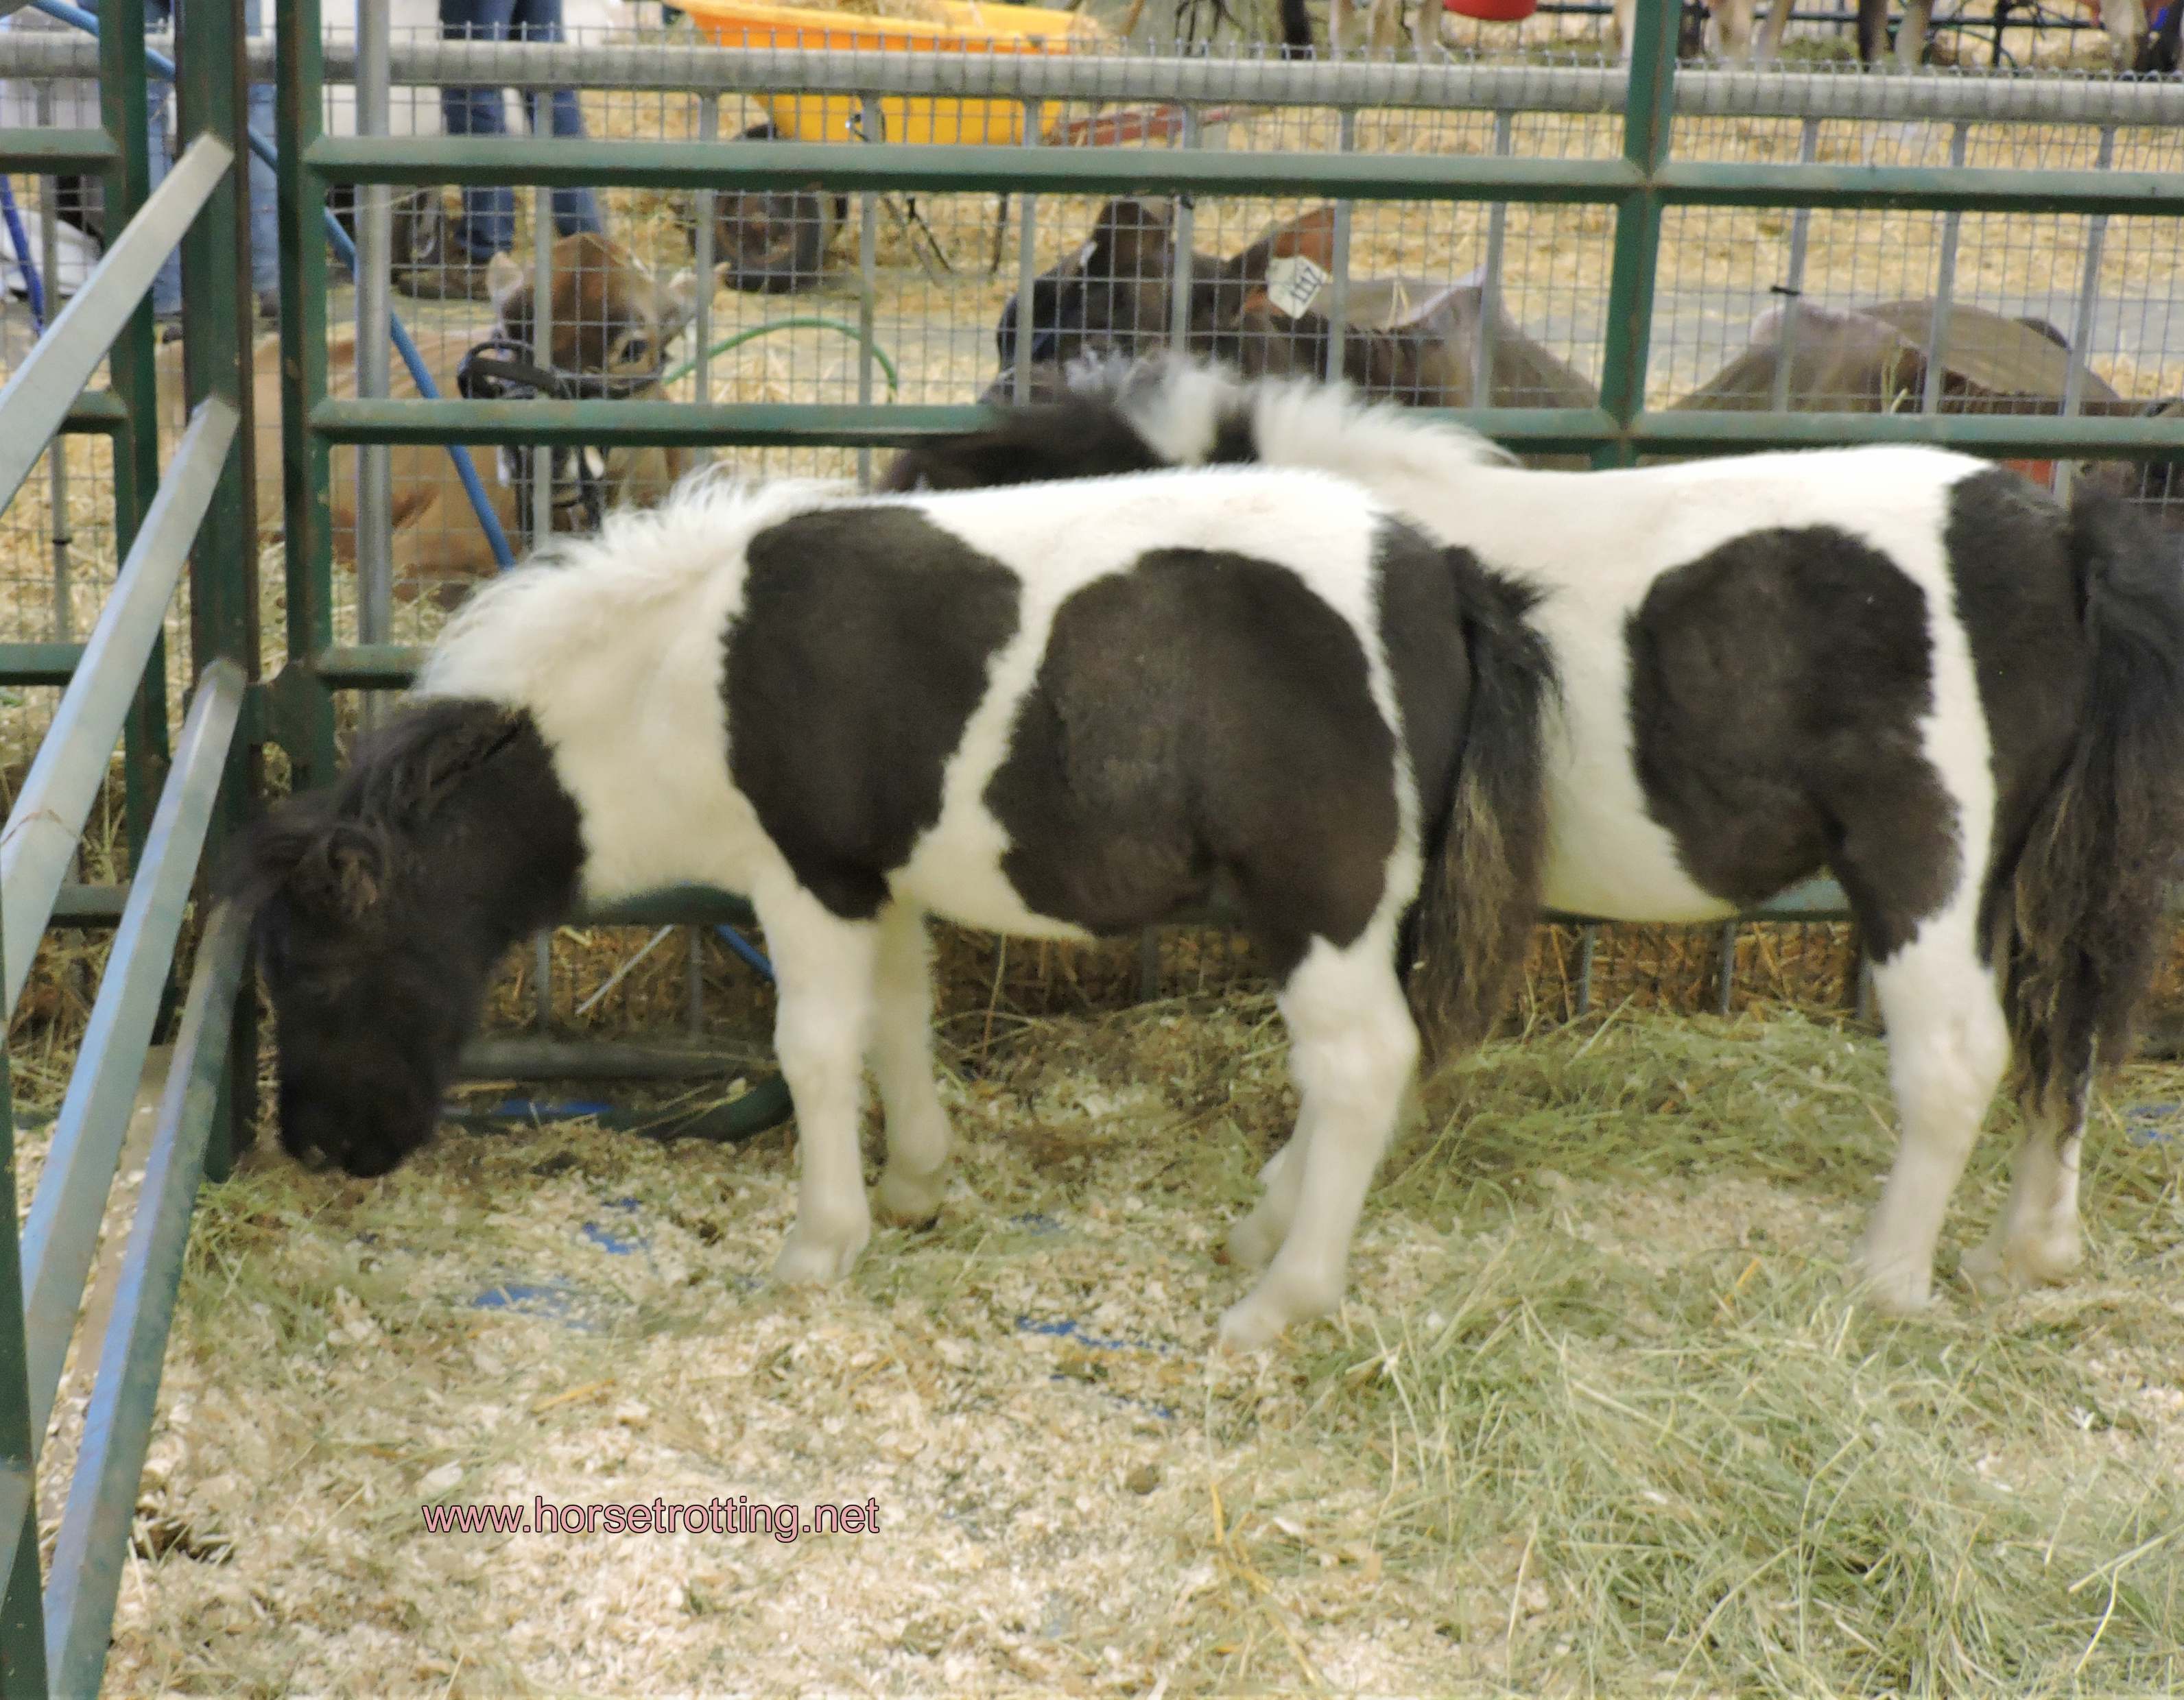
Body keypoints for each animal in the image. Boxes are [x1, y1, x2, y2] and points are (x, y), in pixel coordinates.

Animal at [220, 465, 1557, 1352]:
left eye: (319, 971)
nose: (322, 1147)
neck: (675, 675)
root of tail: (1442, 573)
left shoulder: (805, 875)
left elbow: (815, 1048)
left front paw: (818, 1245)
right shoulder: (882, 880)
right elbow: (900, 1022)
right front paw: (915, 1185)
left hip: (1323, 904)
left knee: (1360, 1066)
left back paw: (1279, 1299)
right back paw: (1263, 1229)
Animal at [884, 354, 2184, 1315]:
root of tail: (2056, 540)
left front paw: (1277, 1223)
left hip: (1926, 865)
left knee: (1958, 1055)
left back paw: (1881, 1280)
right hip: (2024, 883)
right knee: (2060, 1032)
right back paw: (2023, 1252)